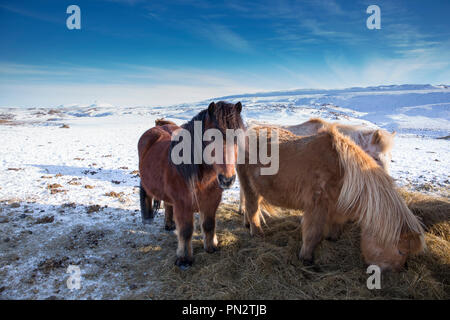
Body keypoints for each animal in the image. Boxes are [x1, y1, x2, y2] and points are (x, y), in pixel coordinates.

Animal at [138, 100, 244, 268]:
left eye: (237, 138)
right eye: (211, 138)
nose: (227, 179)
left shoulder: (211, 201)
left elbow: (208, 224)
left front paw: (211, 247)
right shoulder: (183, 204)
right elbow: (186, 231)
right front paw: (184, 259)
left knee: (168, 204)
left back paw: (169, 224)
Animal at [237, 126, 424, 272]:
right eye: (401, 251)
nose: (399, 271)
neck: (345, 173)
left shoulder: (336, 208)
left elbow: (335, 226)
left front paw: (332, 239)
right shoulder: (316, 205)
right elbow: (313, 234)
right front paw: (306, 259)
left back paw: (247, 224)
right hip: (248, 184)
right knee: (252, 208)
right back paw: (257, 233)